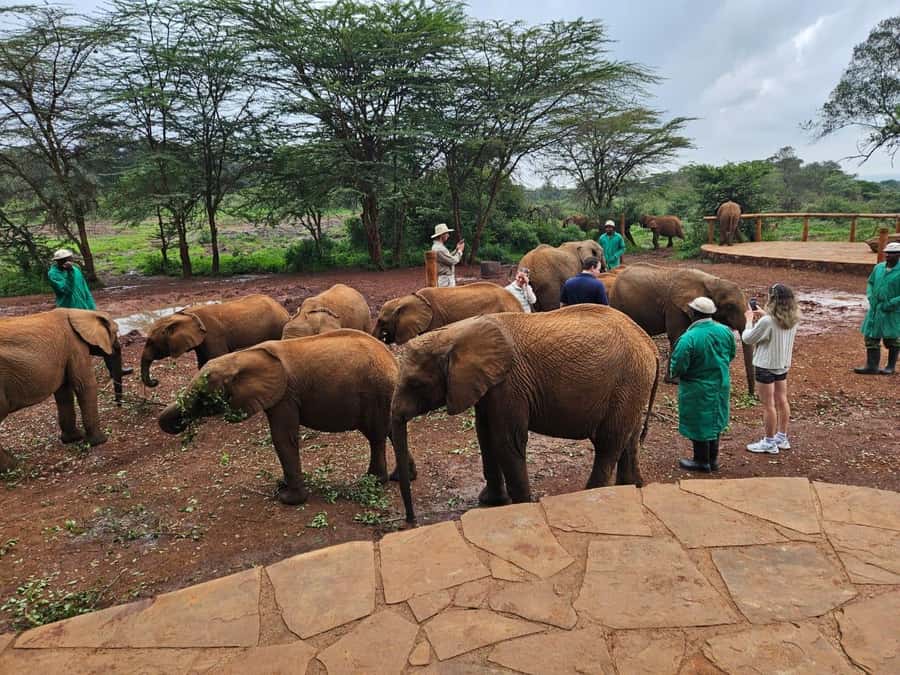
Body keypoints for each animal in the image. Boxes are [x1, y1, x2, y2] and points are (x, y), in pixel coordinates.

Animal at [0, 309, 127, 471]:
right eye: (115, 332)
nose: (119, 405)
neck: (79, 313)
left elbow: (64, 392)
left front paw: (73, 439)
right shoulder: (75, 346)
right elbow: (85, 385)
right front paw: (100, 441)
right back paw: (12, 465)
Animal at [141, 294, 289, 387]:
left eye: (150, 342)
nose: (155, 381)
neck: (185, 315)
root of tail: (283, 309)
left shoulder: (213, 336)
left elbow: (215, 360)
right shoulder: (202, 340)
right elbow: (202, 365)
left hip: (277, 328)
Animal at [158, 329, 409, 504]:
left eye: (203, 395)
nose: (182, 425)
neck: (243, 356)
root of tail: (393, 361)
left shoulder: (285, 395)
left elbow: (282, 438)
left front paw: (288, 499)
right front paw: (281, 486)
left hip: (375, 393)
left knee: (375, 436)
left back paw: (373, 481)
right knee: (390, 431)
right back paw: (400, 477)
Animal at [389, 306, 660, 523]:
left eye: (415, 384)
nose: (411, 521)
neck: (456, 333)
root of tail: (650, 344)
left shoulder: (510, 384)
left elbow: (506, 441)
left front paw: (518, 508)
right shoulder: (489, 385)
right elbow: (485, 435)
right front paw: (490, 501)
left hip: (628, 382)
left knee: (608, 443)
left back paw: (593, 494)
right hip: (634, 387)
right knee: (629, 439)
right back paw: (631, 487)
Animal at [610, 263, 755, 394]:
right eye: (730, 306)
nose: (752, 395)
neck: (711, 281)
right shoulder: (674, 306)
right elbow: (677, 336)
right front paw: (675, 381)